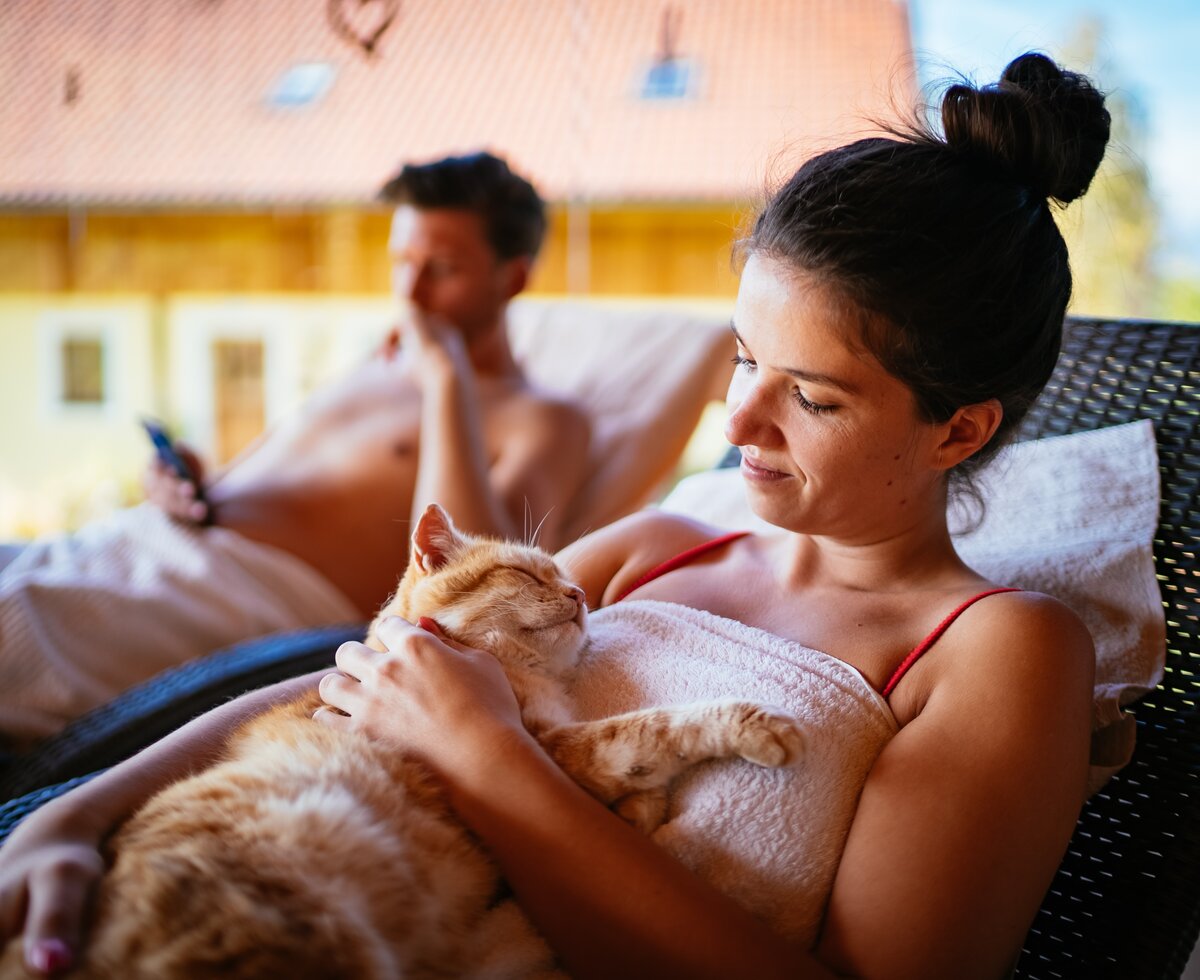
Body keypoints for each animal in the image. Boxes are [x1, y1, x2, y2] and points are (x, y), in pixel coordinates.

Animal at [7, 503, 806, 978]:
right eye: (528, 573)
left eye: (569, 578)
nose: (581, 596)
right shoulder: (551, 749)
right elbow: (657, 726)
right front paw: (764, 729)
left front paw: (643, 811)